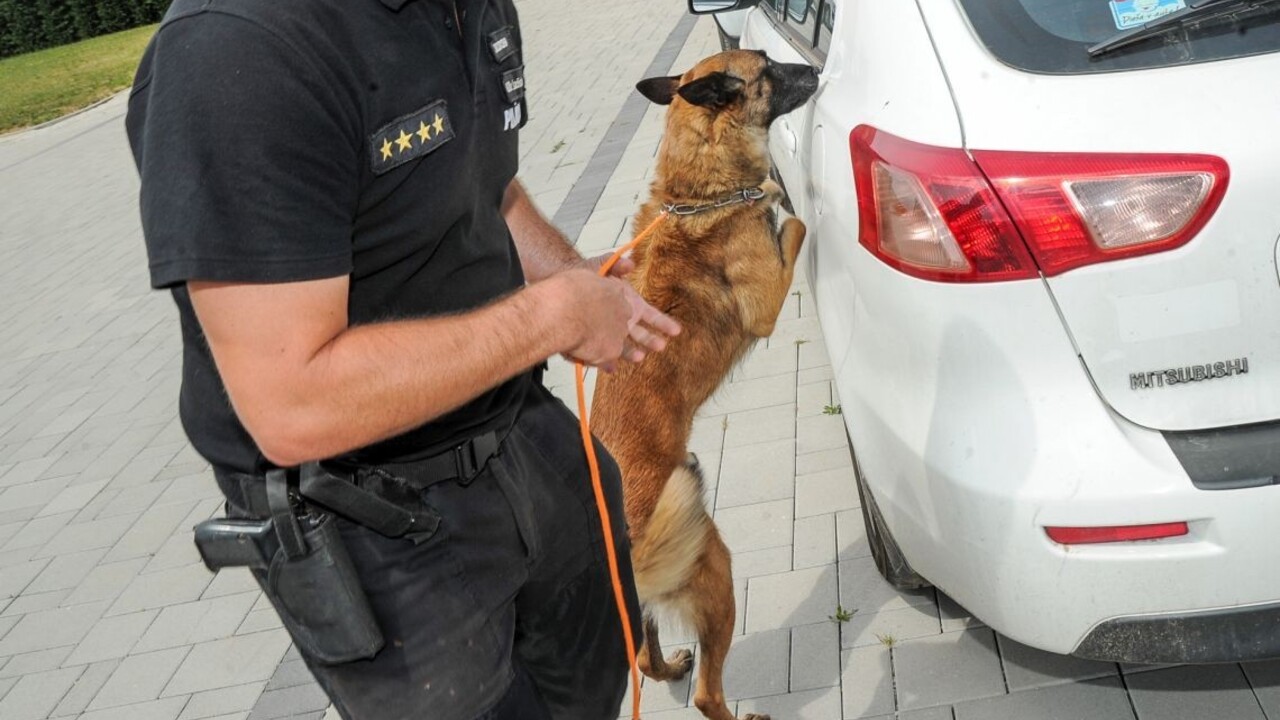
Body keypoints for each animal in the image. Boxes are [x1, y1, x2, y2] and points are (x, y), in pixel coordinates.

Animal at [590, 50, 819, 720]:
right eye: (768, 70)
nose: (816, 72)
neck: (698, 195)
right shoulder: (766, 305)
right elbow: (794, 223)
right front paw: (776, 194)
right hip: (715, 569)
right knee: (708, 695)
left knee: (644, 657)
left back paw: (667, 663)